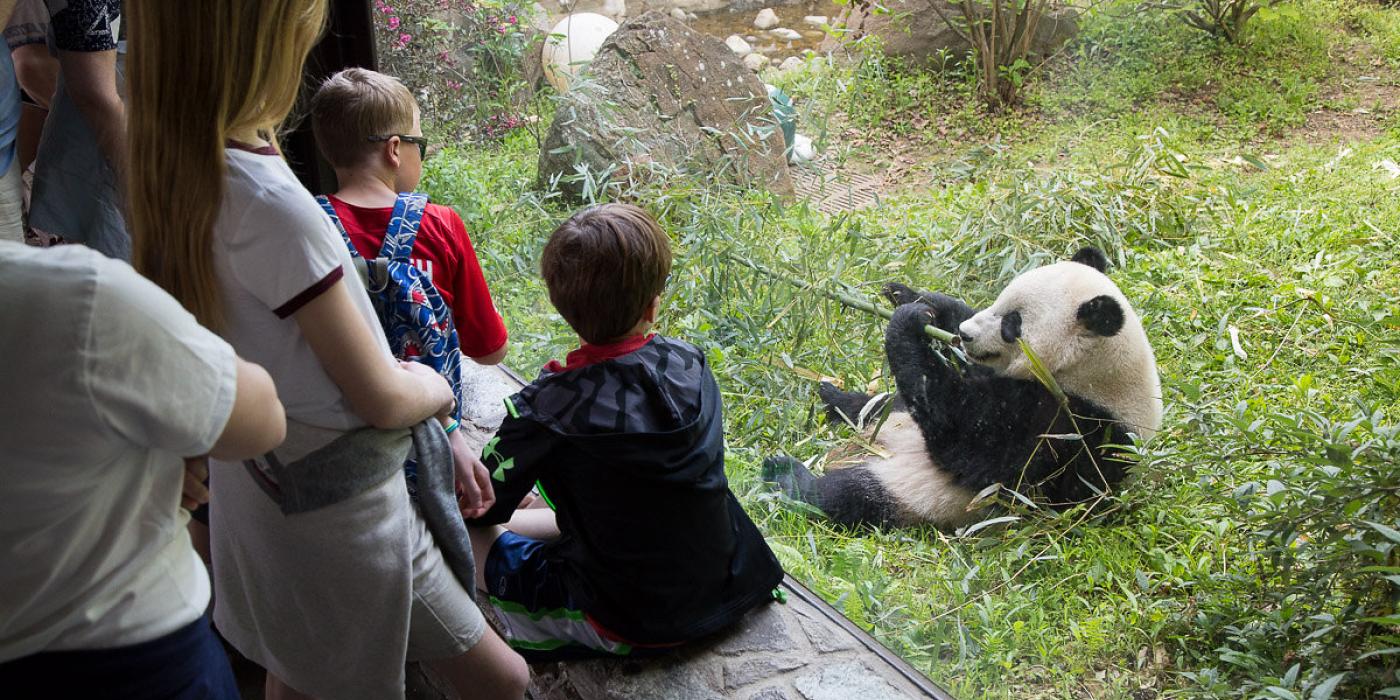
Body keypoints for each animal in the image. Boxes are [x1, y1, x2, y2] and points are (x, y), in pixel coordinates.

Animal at [767, 249, 1159, 526]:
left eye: (1012, 323)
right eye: (999, 300)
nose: (967, 335)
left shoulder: (1070, 427)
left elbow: (964, 437)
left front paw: (906, 324)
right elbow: (956, 353)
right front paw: (913, 298)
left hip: (910, 492)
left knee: (845, 496)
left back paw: (785, 476)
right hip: (890, 420)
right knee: (877, 404)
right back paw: (834, 399)